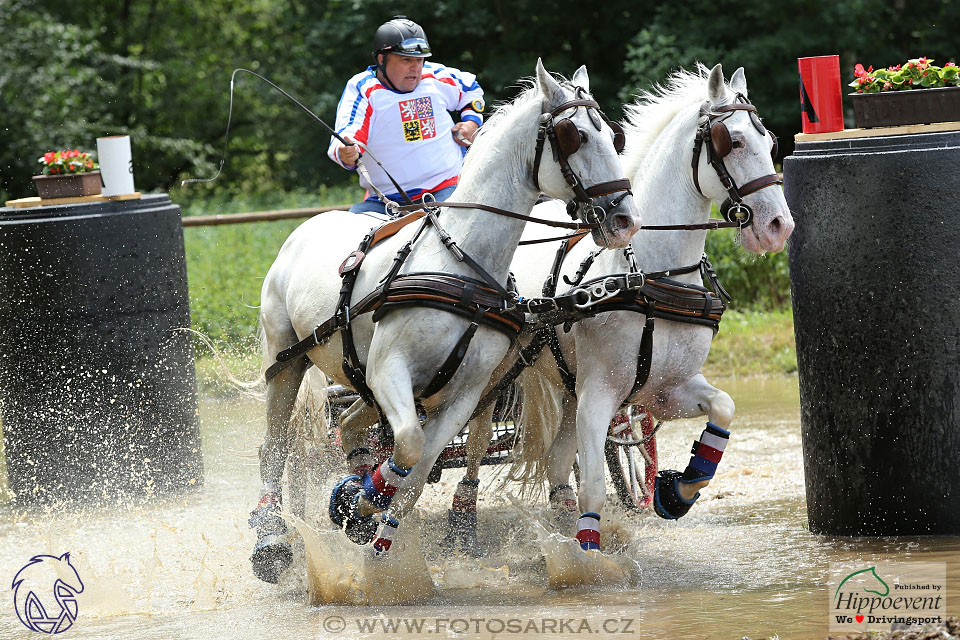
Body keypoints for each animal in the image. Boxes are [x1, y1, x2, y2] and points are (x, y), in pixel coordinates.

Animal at [248, 61, 640, 584]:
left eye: (614, 135)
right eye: (572, 136)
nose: (625, 220)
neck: (462, 261)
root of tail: (306, 227)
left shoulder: (464, 394)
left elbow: (415, 471)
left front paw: (376, 538)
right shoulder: (389, 370)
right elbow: (410, 447)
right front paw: (363, 503)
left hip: (368, 383)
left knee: (350, 427)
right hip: (287, 362)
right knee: (274, 448)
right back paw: (270, 536)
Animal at [450, 65, 796, 552]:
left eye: (772, 144)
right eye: (733, 141)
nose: (779, 226)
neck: (649, 276)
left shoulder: (665, 390)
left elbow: (723, 409)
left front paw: (677, 490)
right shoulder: (599, 395)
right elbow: (594, 484)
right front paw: (589, 556)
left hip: (564, 385)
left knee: (557, 463)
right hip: (494, 373)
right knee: (477, 439)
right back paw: (461, 520)